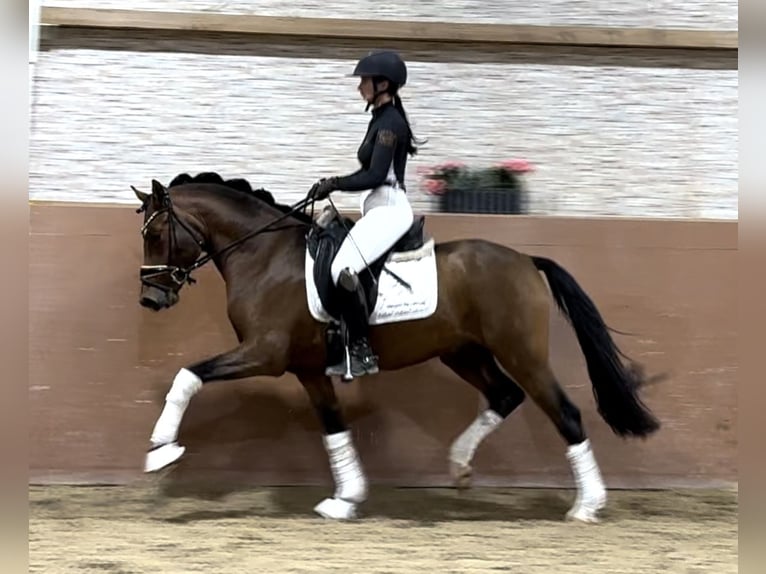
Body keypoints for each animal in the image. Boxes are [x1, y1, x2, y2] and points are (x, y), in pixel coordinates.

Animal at [132, 172, 660, 528]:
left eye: (155, 235)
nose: (151, 299)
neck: (263, 257)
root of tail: (526, 262)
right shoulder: (308, 369)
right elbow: (333, 427)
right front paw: (345, 499)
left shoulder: (265, 352)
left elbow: (189, 375)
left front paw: (161, 450)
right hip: (464, 352)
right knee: (504, 396)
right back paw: (460, 465)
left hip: (521, 354)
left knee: (565, 413)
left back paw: (587, 505)